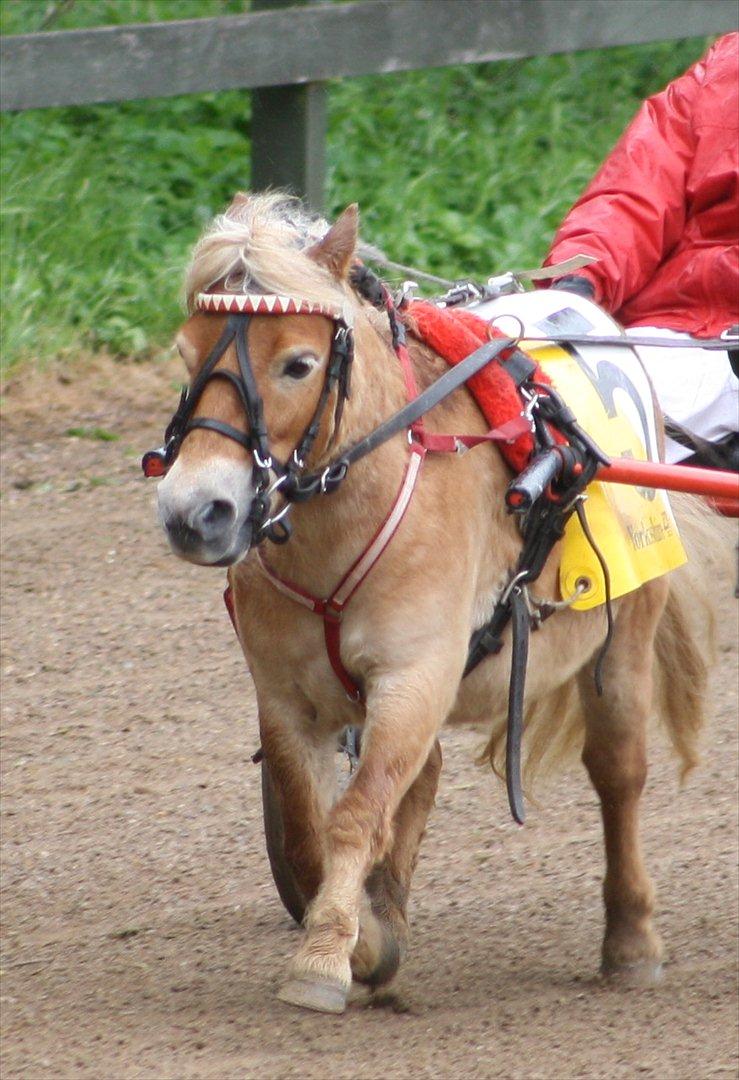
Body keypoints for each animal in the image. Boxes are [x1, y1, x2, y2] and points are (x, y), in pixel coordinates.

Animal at [151, 192, 717, 1010]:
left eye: (297, 364)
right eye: (187, 356)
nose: (195, 512)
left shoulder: (413, 675)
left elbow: (356, 816)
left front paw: (327, 958)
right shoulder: (287, 696)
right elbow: (311, 833)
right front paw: (369, 933)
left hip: (625, 631)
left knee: (618, 772)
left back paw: (631, 941)